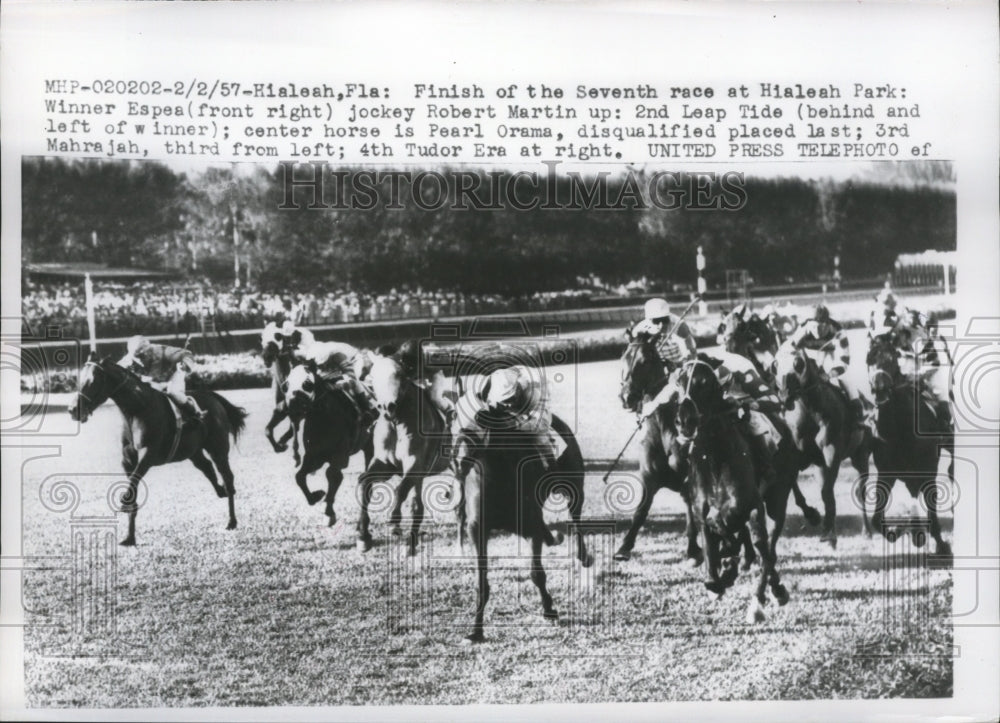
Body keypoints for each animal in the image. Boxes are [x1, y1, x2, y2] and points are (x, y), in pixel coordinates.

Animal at [70, 354, 248, 544]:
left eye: (93, 381)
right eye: (79, 379)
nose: (73, 409)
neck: (137, 409)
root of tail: (213, 397)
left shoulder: (147, 456)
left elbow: (134, 482)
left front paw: (124, 504)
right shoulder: (127, 460)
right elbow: (133, 487)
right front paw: (129, 537)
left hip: (218, 449)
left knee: (227, 477)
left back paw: (231, 520)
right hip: (193, 452)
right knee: (207, 467)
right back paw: (220, 491)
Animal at [676, 358, 792, 624]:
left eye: (704, 382)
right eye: (678, 382)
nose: (685, 420)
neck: (716, 461)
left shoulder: (753, 508)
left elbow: (763, 551)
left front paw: (757, 603)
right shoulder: (704, 515)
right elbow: (712, 572)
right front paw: (726, 568)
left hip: (777, 502)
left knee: (768, 550)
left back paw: (773, 590)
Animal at [768, 344, 872, 548]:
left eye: (797, 362)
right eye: (775, 365)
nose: (784, 394)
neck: (811, 412)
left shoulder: (832, 454)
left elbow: (826, 493)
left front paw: (829, 533)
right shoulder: (796, 457)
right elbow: (797, 487)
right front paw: (813, 515)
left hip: (860, 456)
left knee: (860, 491)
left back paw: (866, 531)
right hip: (820, 466)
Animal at [868, 336, 952, 556]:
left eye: (891, 358)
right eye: (869, 359)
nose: (879, 387)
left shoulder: (929, 472)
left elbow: (932, 508)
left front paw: (941, 545)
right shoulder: (886, 474)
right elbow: (875, 519)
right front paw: (898, 532)